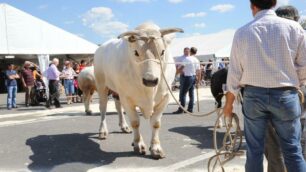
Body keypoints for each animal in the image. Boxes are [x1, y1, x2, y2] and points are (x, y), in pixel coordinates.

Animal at [94, 22, 183, 159]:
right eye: (135, 52)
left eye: (162, 52)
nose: (150, 80)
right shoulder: (127, 98)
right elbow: (135, 122)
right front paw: (138, 144)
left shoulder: (165, 97)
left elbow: (156, 123)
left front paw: (156, 148)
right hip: (102, 85)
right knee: (103, 108)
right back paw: (103, 131)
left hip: (117, 91)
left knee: (118, 107)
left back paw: (124, 126)